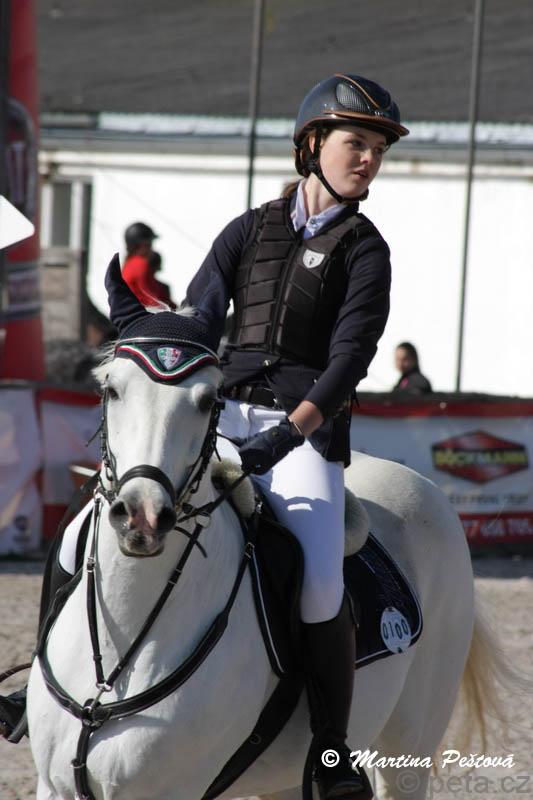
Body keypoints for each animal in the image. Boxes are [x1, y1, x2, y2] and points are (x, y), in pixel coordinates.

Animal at [26, 300, 495, 800]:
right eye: (112, 390)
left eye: (209, 401)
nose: (142, 517)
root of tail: (427, 488)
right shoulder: (54, 786)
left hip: (409, 747)